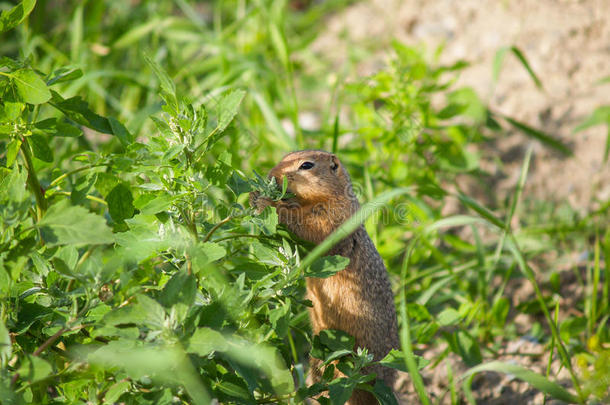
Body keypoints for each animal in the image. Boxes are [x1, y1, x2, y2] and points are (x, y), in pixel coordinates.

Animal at [248, 150, 400, 402]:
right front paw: (254, 195)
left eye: (306, 165)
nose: (271, 175)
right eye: (286, 155)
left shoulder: (330, 217)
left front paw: (267, 202)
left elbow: (307, 227)